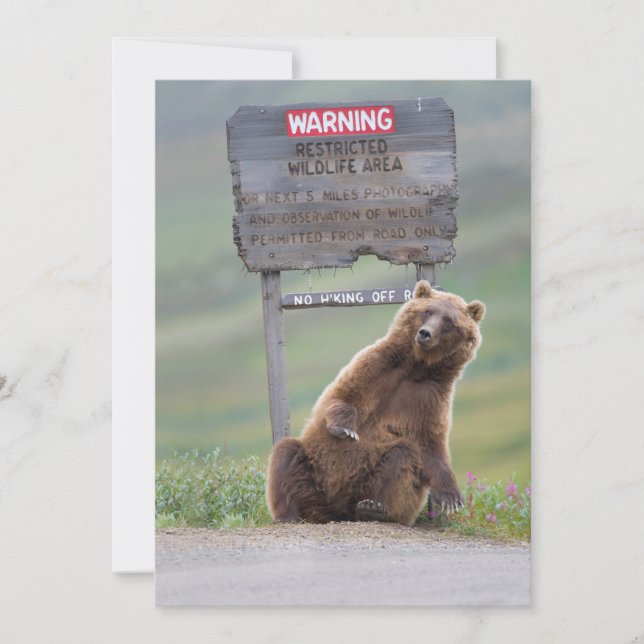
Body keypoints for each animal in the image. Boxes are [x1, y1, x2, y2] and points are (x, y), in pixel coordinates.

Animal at [266, 280, 485, 526]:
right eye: (427, 311)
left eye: (449, 320)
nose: (425, 333)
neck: (416, 367)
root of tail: (337, 513)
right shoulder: (378, 366)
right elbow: (343, 395)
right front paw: (346, 429)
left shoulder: (430, 395)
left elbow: (430, 442)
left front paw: (451, 496)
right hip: (314, 469)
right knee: (286, 455)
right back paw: (289, 514)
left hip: (367, 480)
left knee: (402, 455)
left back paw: (374, 508)